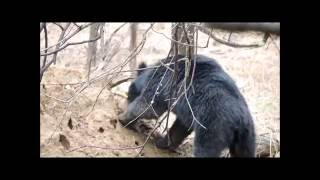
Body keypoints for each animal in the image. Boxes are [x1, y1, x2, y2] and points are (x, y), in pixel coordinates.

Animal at [119, 54, 256, 157]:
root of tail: (239, 120)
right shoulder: (188, 111)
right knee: (245, 153)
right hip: (247, 137)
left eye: (129, 93)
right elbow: (180, 127)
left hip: (213, 127)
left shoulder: (162, 84)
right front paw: (162, 142)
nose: (127, 99)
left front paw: (123, 118)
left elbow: (149, 107)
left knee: (205, 150)